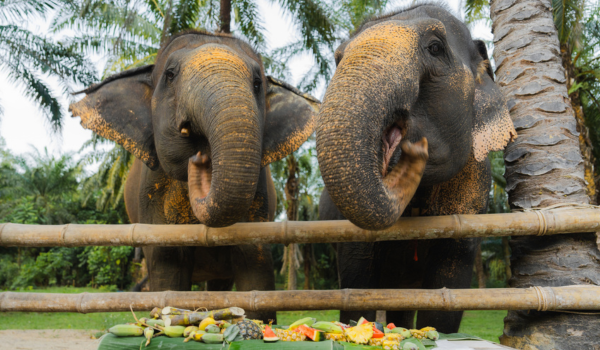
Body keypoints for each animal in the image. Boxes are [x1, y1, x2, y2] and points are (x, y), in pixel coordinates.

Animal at [69, 30, 318, 322]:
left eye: (257, 83)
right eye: (170, 75)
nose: (200, 156)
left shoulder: (260, 196)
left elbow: (254, 265)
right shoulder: (152, 195)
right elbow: (169, 270)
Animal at [314, 5, 516, 332]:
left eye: (435, 48)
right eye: (337, 59)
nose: (415, 149)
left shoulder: (473, 184)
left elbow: (448, 291)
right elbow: (357, 285)